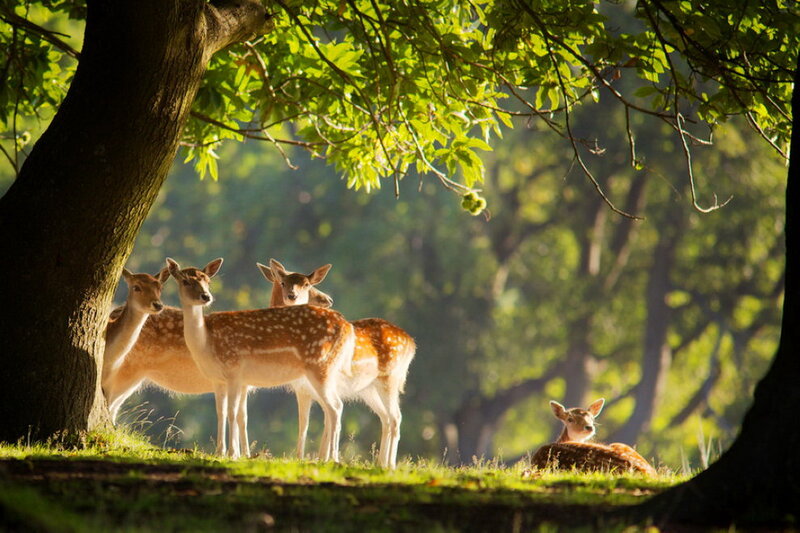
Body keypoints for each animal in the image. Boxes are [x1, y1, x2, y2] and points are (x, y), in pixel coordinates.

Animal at [167, 257, 355, 461]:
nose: (206, 296)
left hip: (320, 366)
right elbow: (221, 412)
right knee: (330, 408)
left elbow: (233, 412)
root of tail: (348, 327)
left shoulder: (235, 372)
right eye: (185, 281)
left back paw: (333, 458)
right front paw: (220, 452)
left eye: (208, 281)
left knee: (336, 407)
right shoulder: (218, 379)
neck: (205, 343)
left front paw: (233, 454)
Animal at [259, 258, 415, 469]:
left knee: (395, 417)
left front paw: (314, 458)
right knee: (386, 418)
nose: (328, 300)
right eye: (283, 282)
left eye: (308, 284)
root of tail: (412, 343)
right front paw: (316, 458)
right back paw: (381, 463)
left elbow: (314, 422)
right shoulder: (304, 388)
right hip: (368, 390)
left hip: (389, 379)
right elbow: (309, 423)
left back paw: (389, 464)